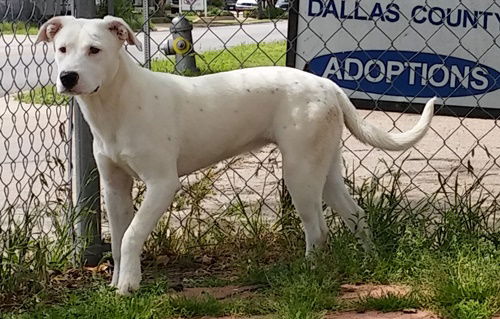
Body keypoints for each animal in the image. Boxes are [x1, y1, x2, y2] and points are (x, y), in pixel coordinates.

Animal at [36, 15, 434, 296]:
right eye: (61, 49)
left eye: (95, 50)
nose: (68, 78)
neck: (114, 105)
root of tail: (327, 84)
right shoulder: (115, 187)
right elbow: (119, 241)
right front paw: (118, 282)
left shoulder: (162, 184)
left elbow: (133, 235)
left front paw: (130, 286)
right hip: (324, 168)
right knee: (355, 215)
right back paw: (369, 261)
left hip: (300, 173)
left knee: (318, 230)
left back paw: (309, 273)